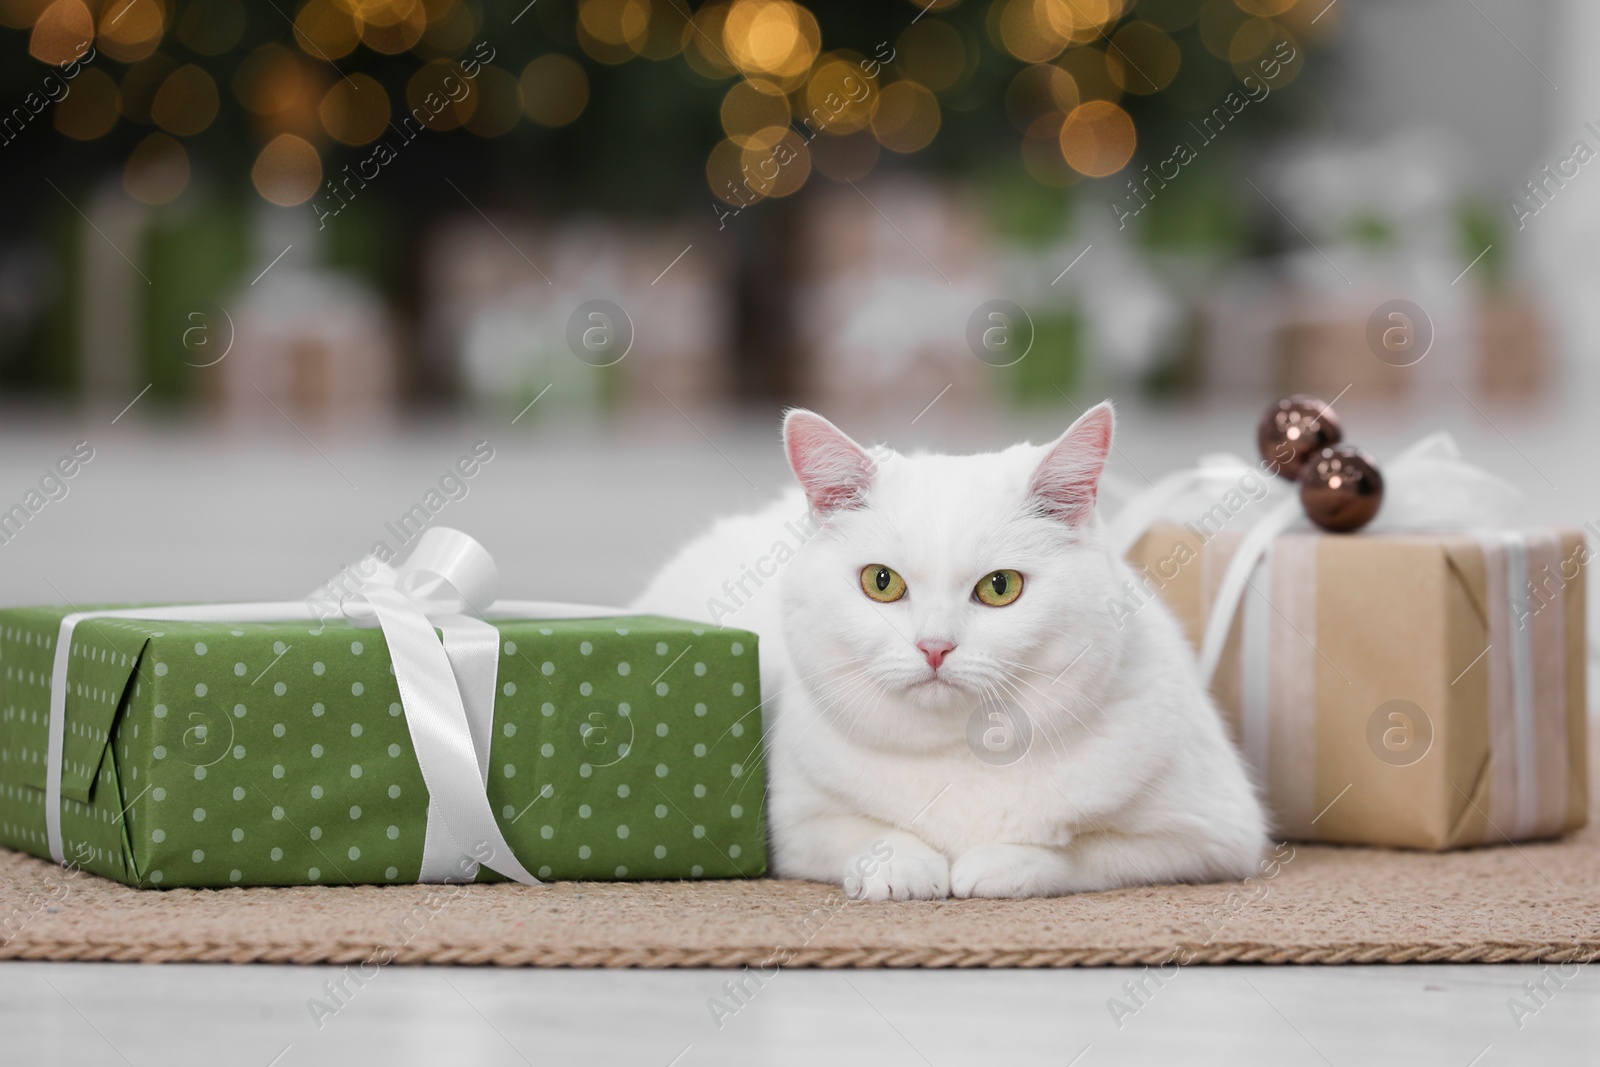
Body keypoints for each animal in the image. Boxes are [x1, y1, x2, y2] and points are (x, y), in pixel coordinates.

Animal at [630, 404, 1267, 895]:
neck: (963, 751)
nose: (934, 646)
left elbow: (1085, 850)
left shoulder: (1213, 835)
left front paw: (1000, 863)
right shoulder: (790, 826)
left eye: (1000, 586)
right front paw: (904, 868)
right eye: (881, 582)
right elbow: (867, 833)